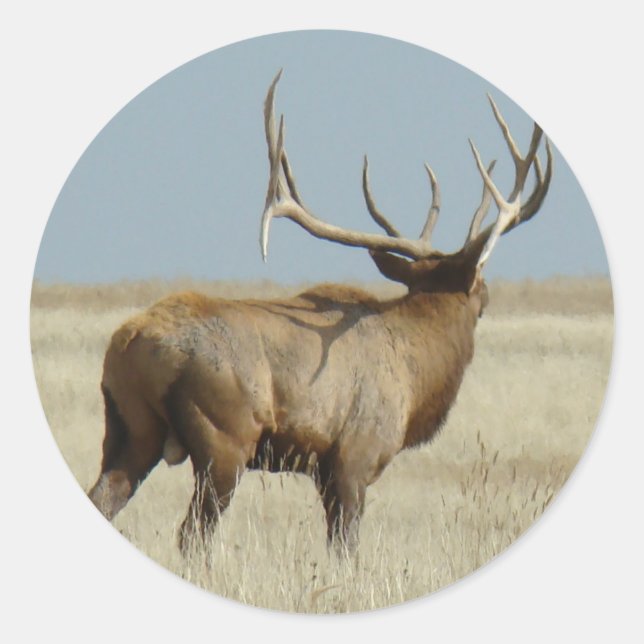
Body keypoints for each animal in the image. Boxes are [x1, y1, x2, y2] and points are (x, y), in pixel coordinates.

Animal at [88, 71, 552, 553]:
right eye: (481, 289)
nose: (489, 294)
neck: (417, 369)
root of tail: (131, 343)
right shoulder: (355, 455)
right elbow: (345, 546)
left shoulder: (324, 468)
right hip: (224, 438)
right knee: (193, 534)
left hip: (129, 428)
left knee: (106, 498)